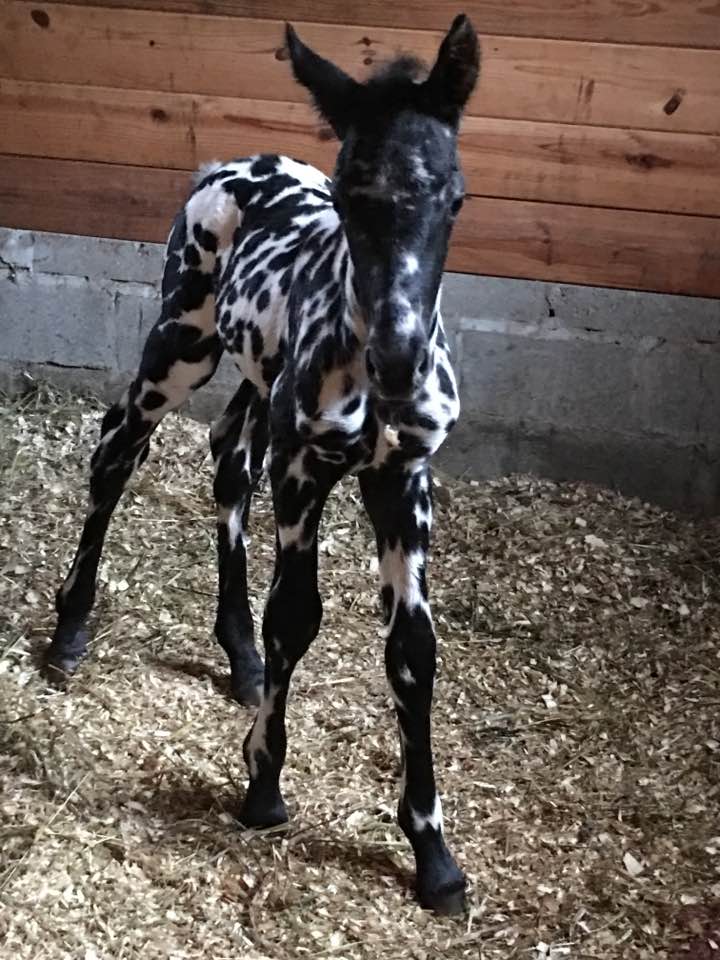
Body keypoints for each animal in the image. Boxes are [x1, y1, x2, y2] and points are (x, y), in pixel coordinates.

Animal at [47, 16, 480, 916]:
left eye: (455, 196)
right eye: (350, 193)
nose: (398, 358)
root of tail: (229, 166)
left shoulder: (402, 480)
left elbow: (413, 649)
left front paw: (433, 855)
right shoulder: (304, 468)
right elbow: (297, 616)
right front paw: (263, 783)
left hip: (252, 375)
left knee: (226, 460)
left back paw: (239, 658)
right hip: (183, 342)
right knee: (118, 449)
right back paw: (70, 630)